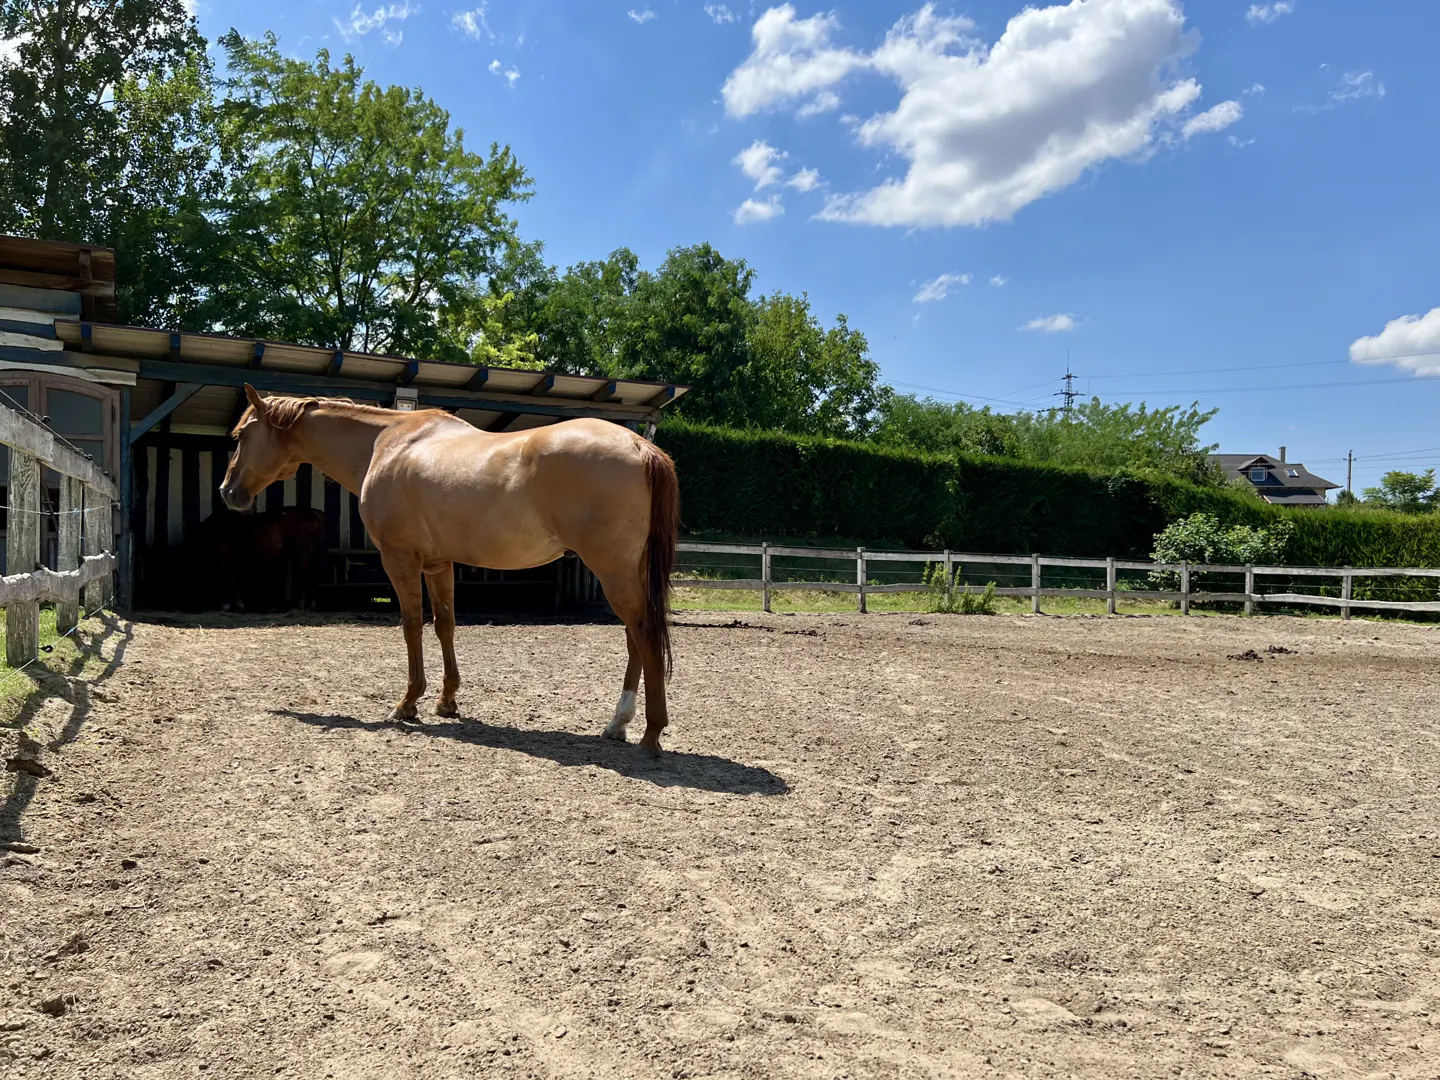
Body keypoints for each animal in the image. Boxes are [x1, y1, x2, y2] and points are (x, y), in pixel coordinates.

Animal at [219, 385, 679, 755]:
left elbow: (411, 625)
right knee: (634, 638)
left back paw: (651, 733)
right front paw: (447, 700)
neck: (385, 444)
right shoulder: (439, 564)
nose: (227, 492)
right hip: (627, 572)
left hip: (612, 570)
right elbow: (445, 624)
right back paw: (618, 724)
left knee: (643, 632)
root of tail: (641, 447)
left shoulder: (400, 558)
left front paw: (408, 704)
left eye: (240, 436)